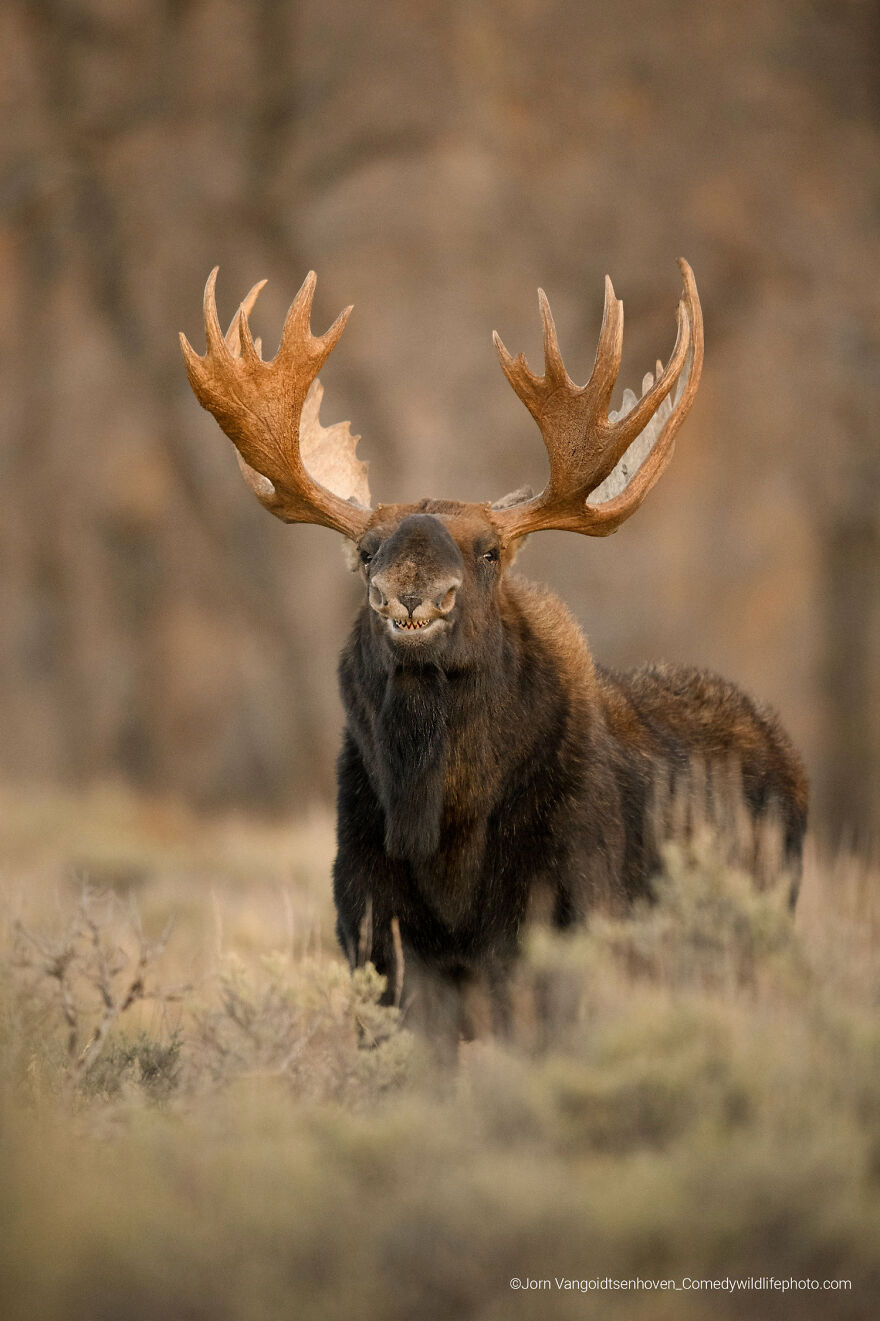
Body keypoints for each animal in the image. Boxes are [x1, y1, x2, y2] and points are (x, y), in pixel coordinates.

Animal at [180, 260, 808, 1045]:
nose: (411, 595)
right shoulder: (374, 934)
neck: (445, 834)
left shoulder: (569, 919)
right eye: (367, 550)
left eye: (489, 551)